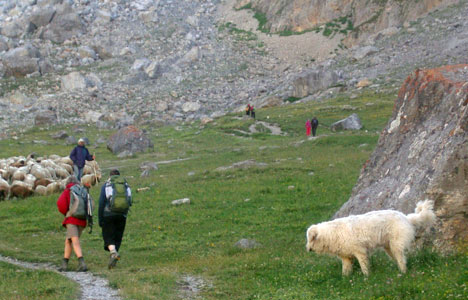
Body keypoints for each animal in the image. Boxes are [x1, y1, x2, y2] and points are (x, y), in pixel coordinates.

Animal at [308, 200, 436, 276]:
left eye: (310, 239)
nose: (308, 250)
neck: (332, 233)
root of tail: (406, 217)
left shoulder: (360, 252)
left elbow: (364, 267)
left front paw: (366, 278)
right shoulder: (347, 257)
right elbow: (345, 271)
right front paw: (345, 279)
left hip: (396, 246)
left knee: (401, 260)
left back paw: (403, 273)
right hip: (389, 248)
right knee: (399, 259)